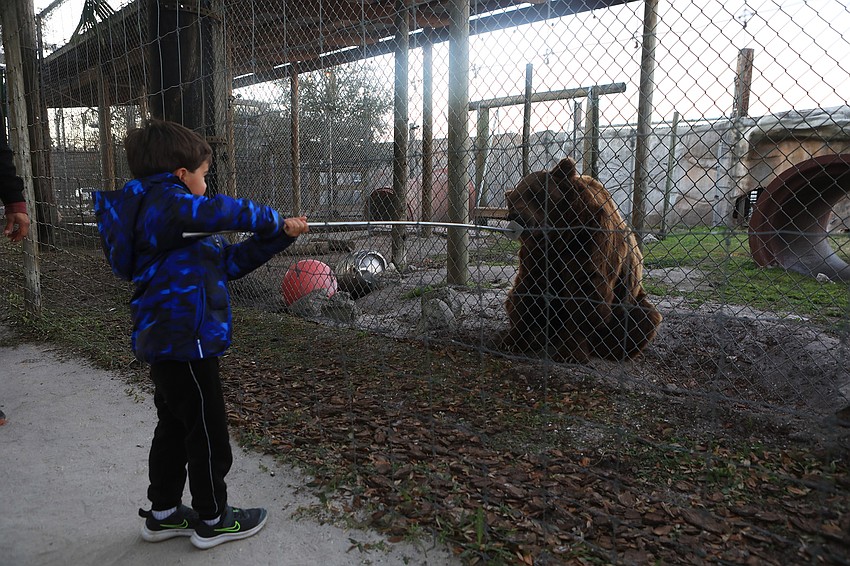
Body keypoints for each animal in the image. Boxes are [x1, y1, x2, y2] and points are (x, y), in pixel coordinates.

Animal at [502, 157, 662, 363]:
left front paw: (570, 353)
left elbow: (586, 292)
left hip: (629, 301)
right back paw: (541, 336)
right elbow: (529, 286)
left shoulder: (592, 239)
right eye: (512, 201)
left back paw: (607, 349)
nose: (515, 217)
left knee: (643, 317)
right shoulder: (538, 252)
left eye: (535, 194)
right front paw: (514, 340)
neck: (560, 233)